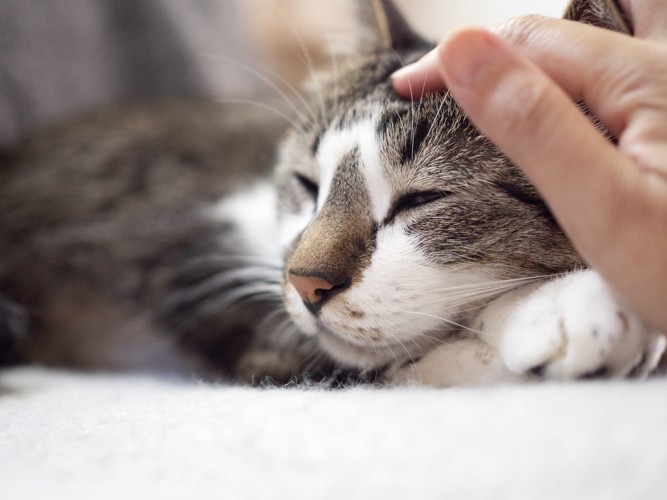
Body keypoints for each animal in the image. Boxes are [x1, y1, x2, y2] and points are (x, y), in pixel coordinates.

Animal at [0, 0, 664, 386]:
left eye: (422, 199)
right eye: (305, 185)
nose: (304, 283)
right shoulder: (216, 297)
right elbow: (410, 361)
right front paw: (562, 306)